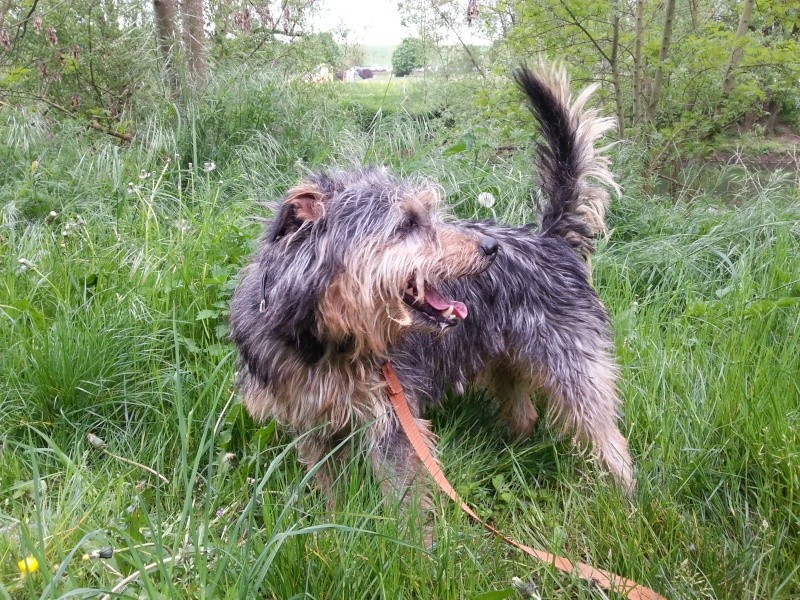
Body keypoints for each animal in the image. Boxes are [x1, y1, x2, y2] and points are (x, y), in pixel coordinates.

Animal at [228, 63, 636, 510]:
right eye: (407, 224)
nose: (490, 247)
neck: (327, 340)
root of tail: (549, 239)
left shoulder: (392, 415)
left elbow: (404, 500)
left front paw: (409, 531)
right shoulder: (310, 421)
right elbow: (329, 486)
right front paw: (334, 515)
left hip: (572, 363)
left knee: (606, 433)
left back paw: (624, 494)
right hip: (505, 358)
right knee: (525, 412)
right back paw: (516, 453)